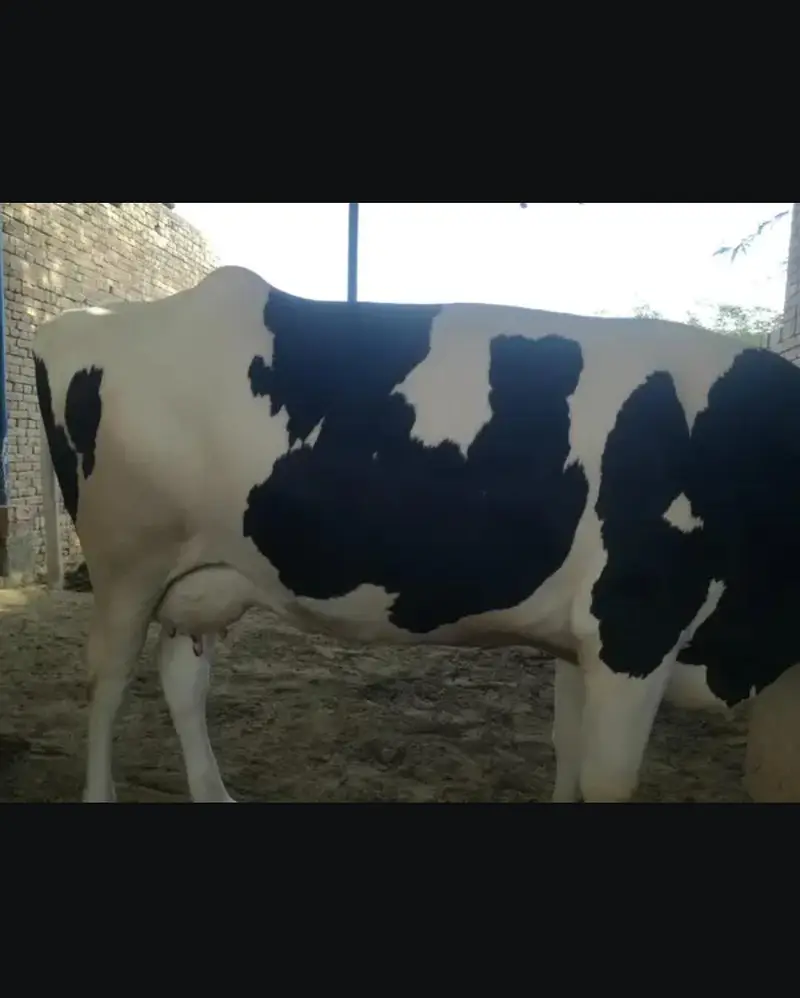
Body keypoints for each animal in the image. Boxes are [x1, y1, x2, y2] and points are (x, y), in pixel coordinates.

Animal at [31, 265, 800, 804]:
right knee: (108, 678)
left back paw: (216, 794)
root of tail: (82, 319)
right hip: (128, 561)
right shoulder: (633, 626)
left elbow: (569, 755)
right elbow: (608, 779)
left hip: (207, 573)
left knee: (183, 679)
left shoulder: (582, 639)